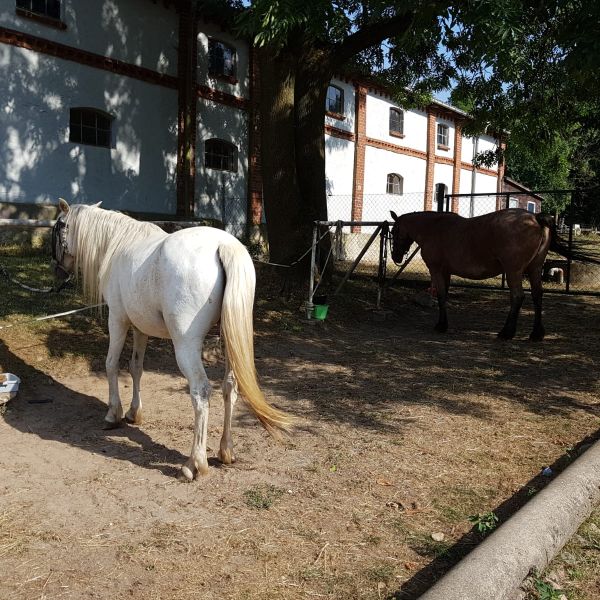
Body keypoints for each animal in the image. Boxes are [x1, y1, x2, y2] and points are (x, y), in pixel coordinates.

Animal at [52, 199, 292, 480]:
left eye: (58, 226)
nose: (58, 274)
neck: (117, 244)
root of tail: (224, 245)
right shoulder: (140, 328)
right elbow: (136, 367)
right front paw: (134, 412)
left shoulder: (118, 320)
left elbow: (111, 364)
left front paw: (114, 414)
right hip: (229, 343)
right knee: (229, 387)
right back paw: (226, 451)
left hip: (186, 346)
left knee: (201, 391)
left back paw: (194, 464)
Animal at [390, 210, 552, 342]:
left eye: (393, 233)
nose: (395, 256)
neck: (434, 227)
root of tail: (535, 218)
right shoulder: (446, 272)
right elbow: (444, 296)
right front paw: (443, 324)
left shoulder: (436, 270)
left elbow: (441, 296)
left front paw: (441, 326)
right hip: (534, 269)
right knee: (537, 295)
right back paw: (536, 334)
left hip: (513, 271)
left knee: (517, 297)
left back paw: (506, 332)